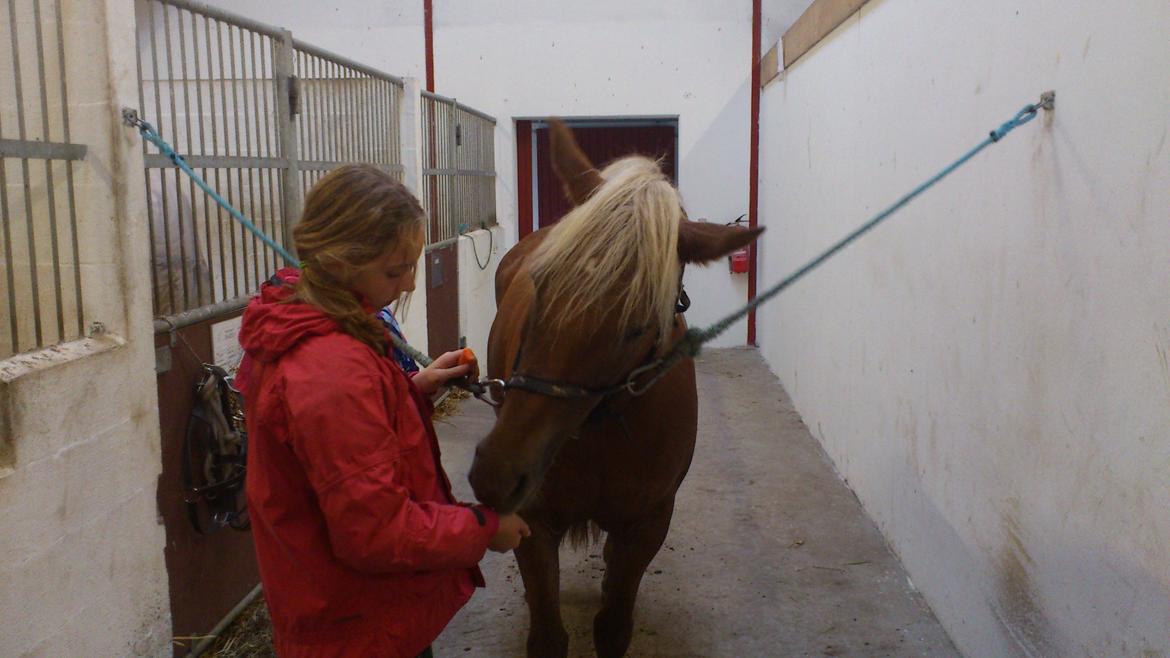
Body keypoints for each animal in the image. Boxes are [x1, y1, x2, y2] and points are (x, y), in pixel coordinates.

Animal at [468, 120, 763, 657]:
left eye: (638, 324)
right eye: (540, 283)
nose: (496, 474)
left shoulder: (646, 525)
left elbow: (613, 625)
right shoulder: (535, 524)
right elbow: (548, 635)